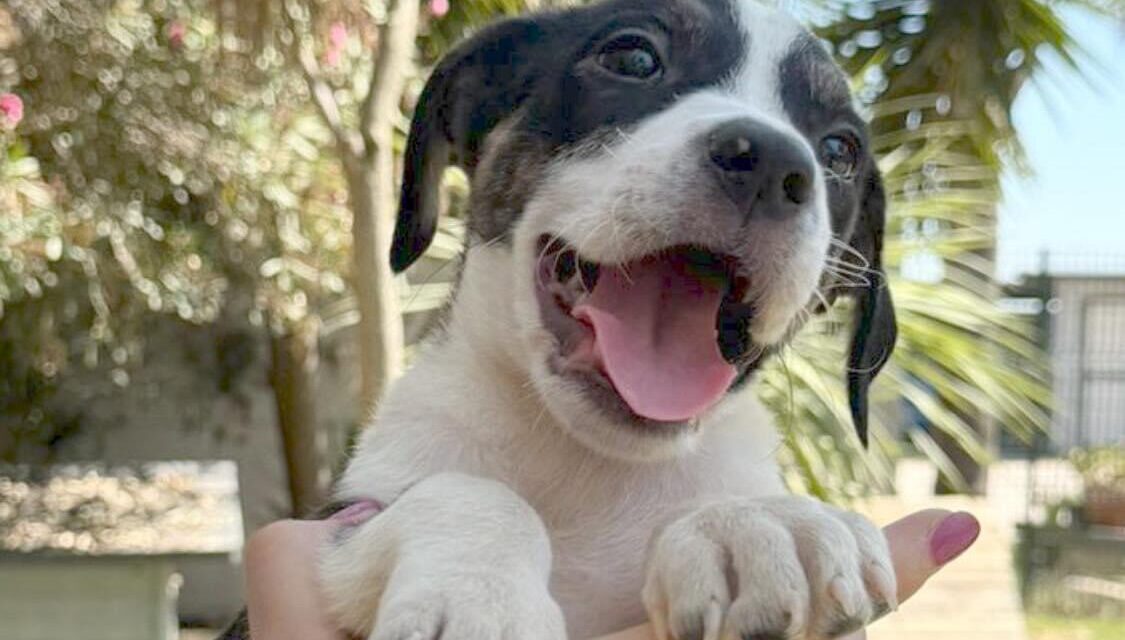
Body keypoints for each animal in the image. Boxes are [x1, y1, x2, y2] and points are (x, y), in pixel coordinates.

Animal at [226, 1, 895, 638]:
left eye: (839, 151)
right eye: (633, 58)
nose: (773, 161)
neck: (586, 462)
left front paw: (757, 521)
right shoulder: (344, 518)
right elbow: (470, 492)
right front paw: (479, 593)